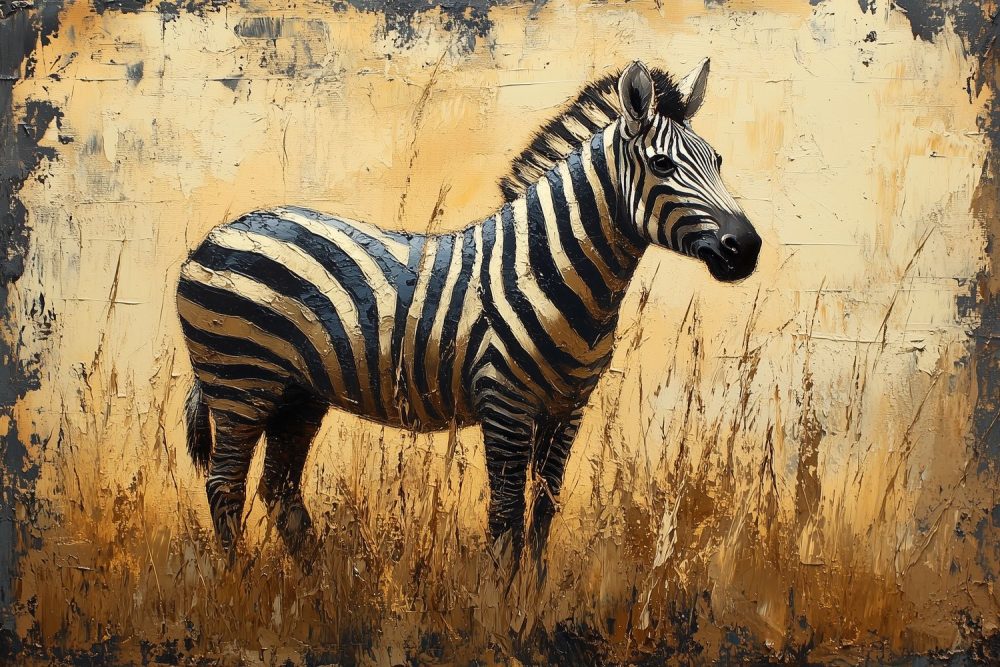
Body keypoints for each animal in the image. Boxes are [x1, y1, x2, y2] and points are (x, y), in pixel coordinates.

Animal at [178, 59, 761, 568]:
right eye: (662, 164)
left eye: (718, 160)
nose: (747, 247)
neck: (549, 269)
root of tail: (219, 232)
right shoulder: (504, 400)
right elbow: (506, 516)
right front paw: (500, 606)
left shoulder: (568, 409)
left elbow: (543, 511)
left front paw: (532, 600)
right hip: (240, 382)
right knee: (225, 485)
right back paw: (241, 586)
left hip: (297, 395)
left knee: (279, 488)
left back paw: (314, 588)